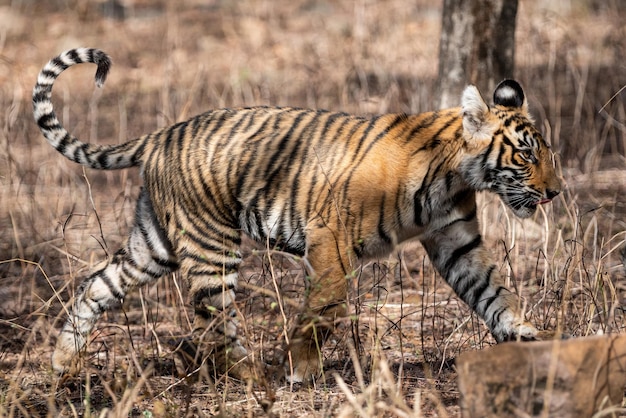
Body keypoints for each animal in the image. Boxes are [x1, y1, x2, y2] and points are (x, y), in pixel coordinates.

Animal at [33, 47, 560, 384]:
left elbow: (492, 288)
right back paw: (251, 376)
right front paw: (301, 370)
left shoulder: (458, 242)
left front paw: (523, 333)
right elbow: (321, 311)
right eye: (527, 155)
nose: (555, 192)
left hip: (154, 245)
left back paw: (62, 362)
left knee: (96, 284)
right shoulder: (332, 240)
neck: (455, 176)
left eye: (547, 154)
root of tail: (161, 133)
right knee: (210, 315)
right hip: (211, 246)